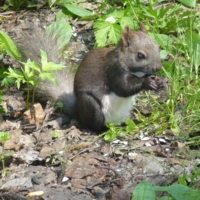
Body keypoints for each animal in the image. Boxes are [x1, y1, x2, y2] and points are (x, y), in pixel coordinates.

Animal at [17, 22, 164, 133]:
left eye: (157, 47)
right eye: (140, 55)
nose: (157, 68)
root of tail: (78, 112)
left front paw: (161, 81)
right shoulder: (114, 71)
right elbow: (123, 88)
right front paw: (146, 82)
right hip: (90, 105)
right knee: (93, 124)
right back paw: (101, 129)